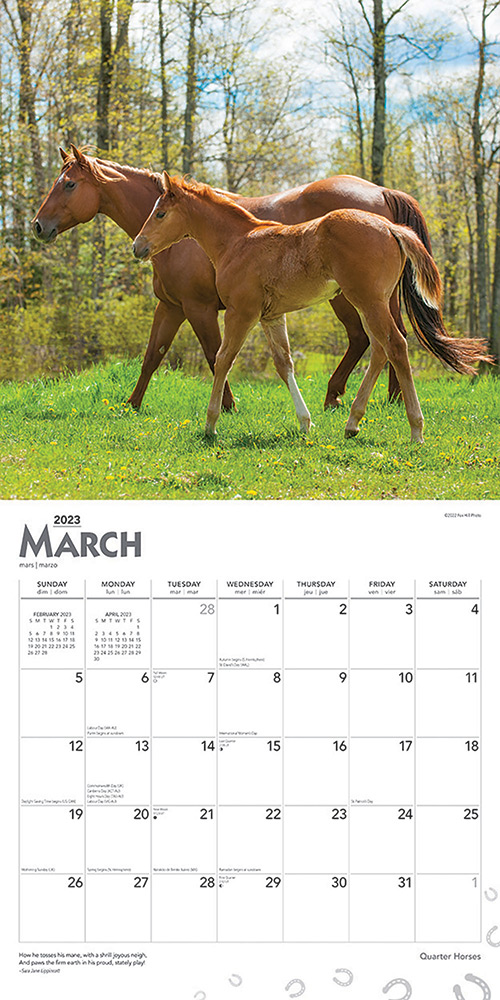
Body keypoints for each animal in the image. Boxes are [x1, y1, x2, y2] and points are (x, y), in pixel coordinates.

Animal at [33, 144, 434, 411]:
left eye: (69, 184)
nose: (38, 226)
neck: (191, 235)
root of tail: (380, 191)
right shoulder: (171, 307)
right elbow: (152, 356)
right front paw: (132, 404)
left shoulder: (201, 309)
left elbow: (215, 356)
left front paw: (227, 405)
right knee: (383, 338)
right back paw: (387, 398)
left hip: (353, 297)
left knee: (372, 338)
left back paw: (355, 397)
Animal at [132, 174, 489, 441]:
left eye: (160, 213)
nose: (138, 246)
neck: (239, 241)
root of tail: (391, 227)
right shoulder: (272, 316)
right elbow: (284, 364)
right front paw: (305, 422)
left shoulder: (240, 312)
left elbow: (222, 360)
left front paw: (210, 425)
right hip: (368, 302)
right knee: (379, 348)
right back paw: (352, 422)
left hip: (367, 300)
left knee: (395, 345)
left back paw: (415, 429)